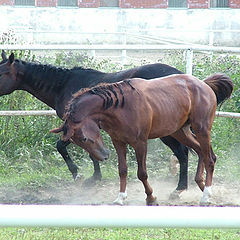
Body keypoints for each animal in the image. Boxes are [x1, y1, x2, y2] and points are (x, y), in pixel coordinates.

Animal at [51, 72, 232, 204]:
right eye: (76, 141)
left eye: (83, 139)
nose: (104, 156)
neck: (120, 106)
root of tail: (204, 84)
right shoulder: (119, 142)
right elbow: (122, 170)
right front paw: (120, 198)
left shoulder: (140, 143)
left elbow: (142, 173)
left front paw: (151, 197)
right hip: (180, 131)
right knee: (201, 152)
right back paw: (200, 187)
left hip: (201, 129)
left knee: (210, 158)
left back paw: (206, 195)